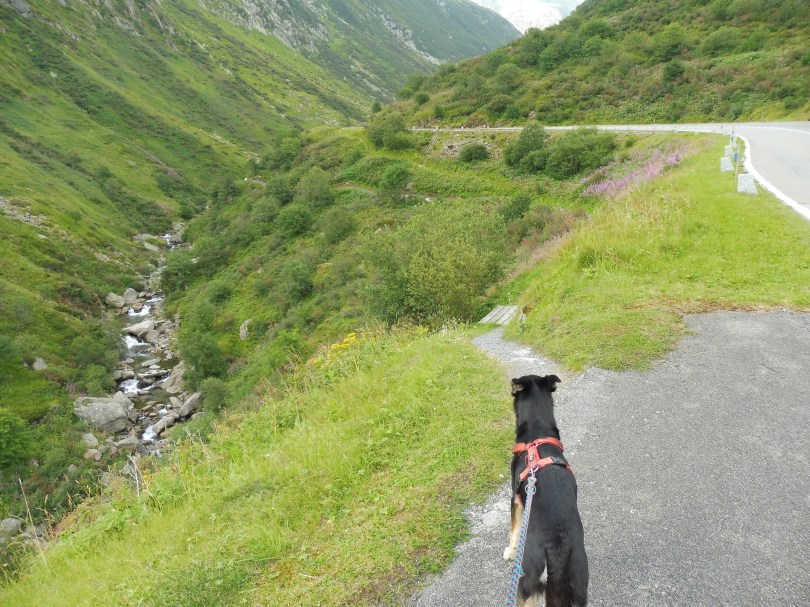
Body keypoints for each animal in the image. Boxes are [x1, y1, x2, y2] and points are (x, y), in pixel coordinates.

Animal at [503, 374, 588, 607]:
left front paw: (510, 551)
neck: (537, 430)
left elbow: (514, 531)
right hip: (579, 588)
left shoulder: (515, 499)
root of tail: (557, 550)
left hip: (527, 580)